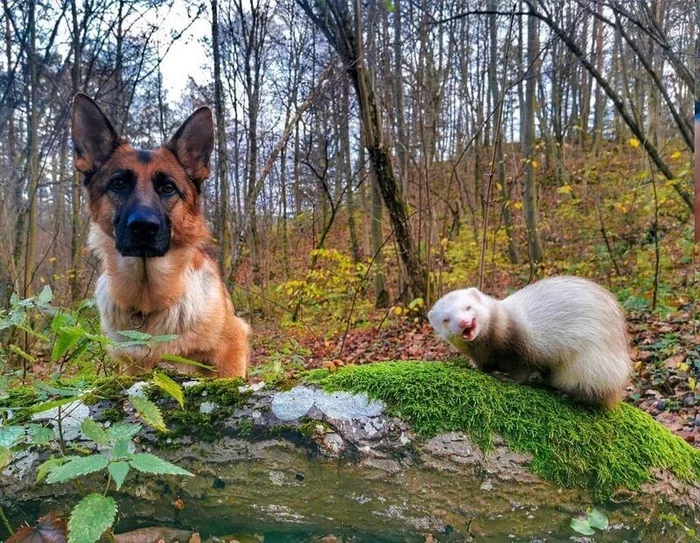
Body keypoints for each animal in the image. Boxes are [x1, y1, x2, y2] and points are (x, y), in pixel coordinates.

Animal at [71, 93, 250, 378]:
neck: (147, 304)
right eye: (118, 184)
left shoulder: (231, 350)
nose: (143, 227)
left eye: (168, 188)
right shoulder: (131, 368)